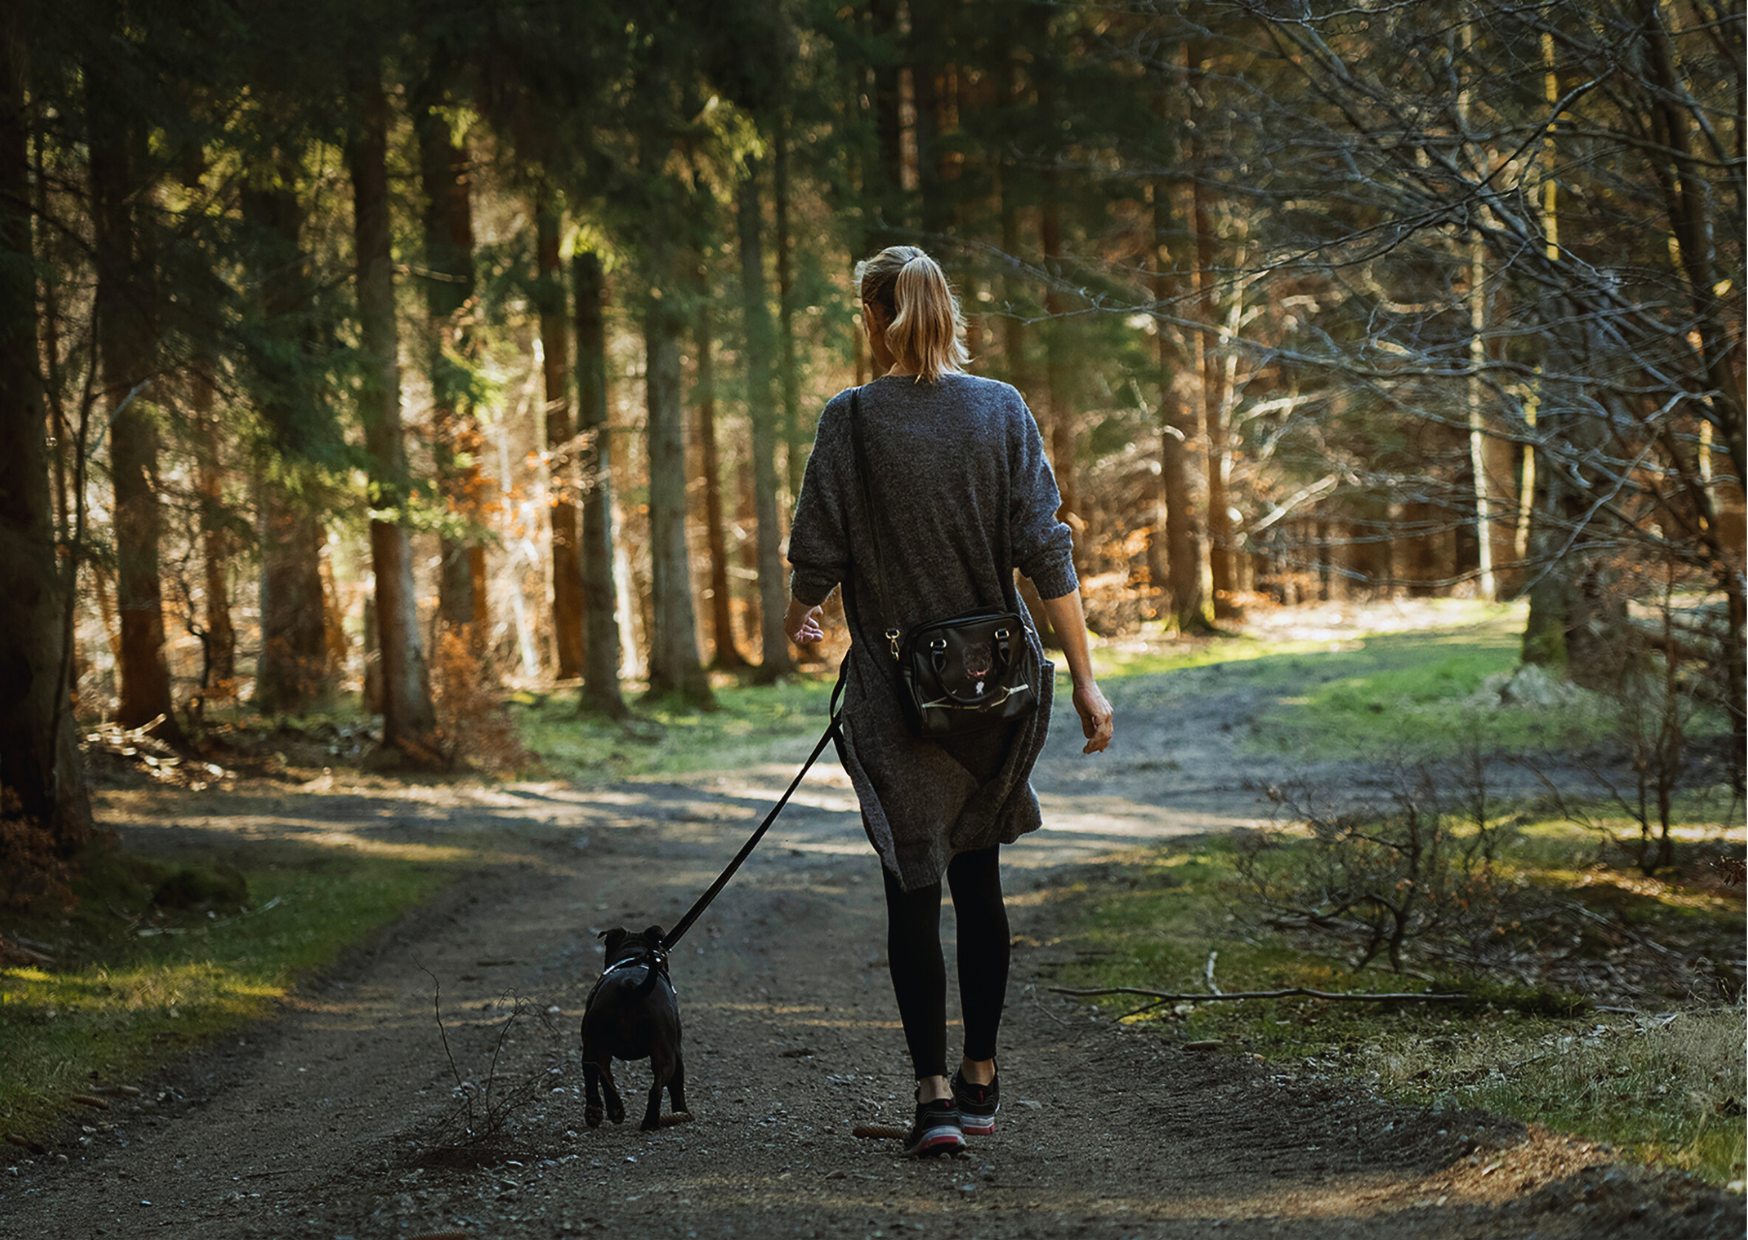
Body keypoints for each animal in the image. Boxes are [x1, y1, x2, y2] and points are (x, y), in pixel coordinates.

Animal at [573, 916, 681, 1133]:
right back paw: (647, 1121)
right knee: (656, 1087)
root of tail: (630, 985)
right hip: (665, 1053)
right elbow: (678, 1087)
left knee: (600, 1072)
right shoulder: (678, 1050)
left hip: (596, 1042)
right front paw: (683, 1112)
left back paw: (611, 1110)